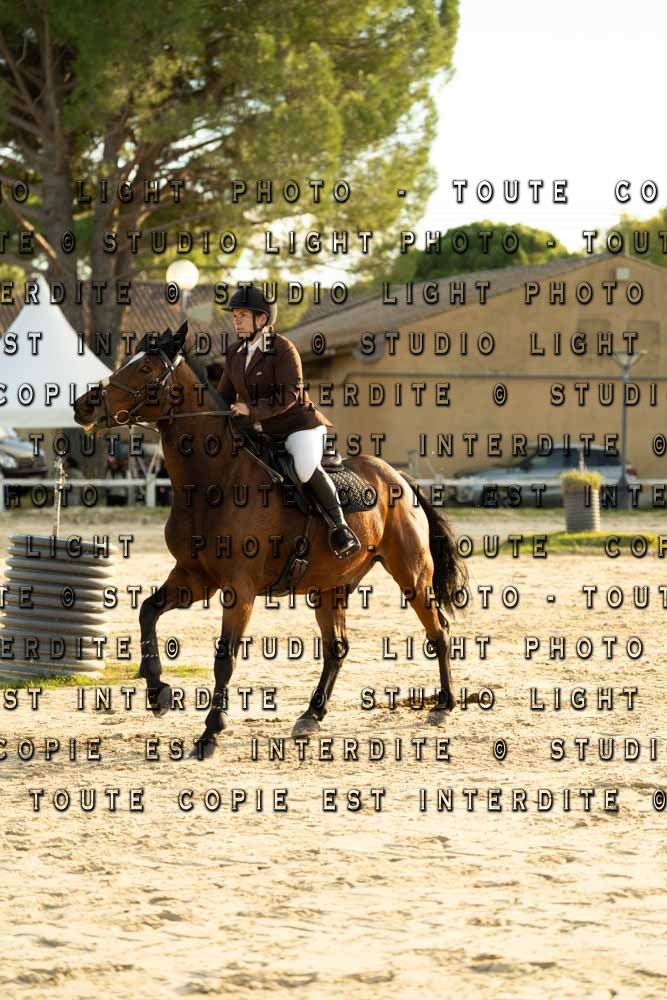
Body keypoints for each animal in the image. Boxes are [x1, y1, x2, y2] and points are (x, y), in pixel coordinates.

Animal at [73, 324, 468, 757]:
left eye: (145, 368)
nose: (83, 406)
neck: (214, 479)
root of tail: (398, 478)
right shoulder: (194, 577)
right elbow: (147, 612)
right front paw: (158, 691)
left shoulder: (239, 588)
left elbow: (224, 659)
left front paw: (210, 733)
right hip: (330, 586)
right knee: (337, 647)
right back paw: (311, 715)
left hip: (411, 574)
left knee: (438, 630)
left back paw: (444, 705)